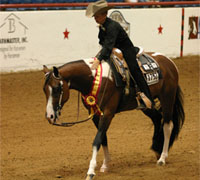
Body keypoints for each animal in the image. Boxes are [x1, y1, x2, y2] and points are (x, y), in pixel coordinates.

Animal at [42, 50, 184, 180]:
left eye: (56, 89)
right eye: (44, 90)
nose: (50, 116)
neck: (94, 79)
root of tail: (169, 61)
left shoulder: (108, 113)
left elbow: (97, 140)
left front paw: (91, 171)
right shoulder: (95, 115)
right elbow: (103, 138)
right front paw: (105, 165)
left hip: (167, 97)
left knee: (167, 125)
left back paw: (162, 158)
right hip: (146, 104)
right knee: (157, 118)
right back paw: (157, 150)